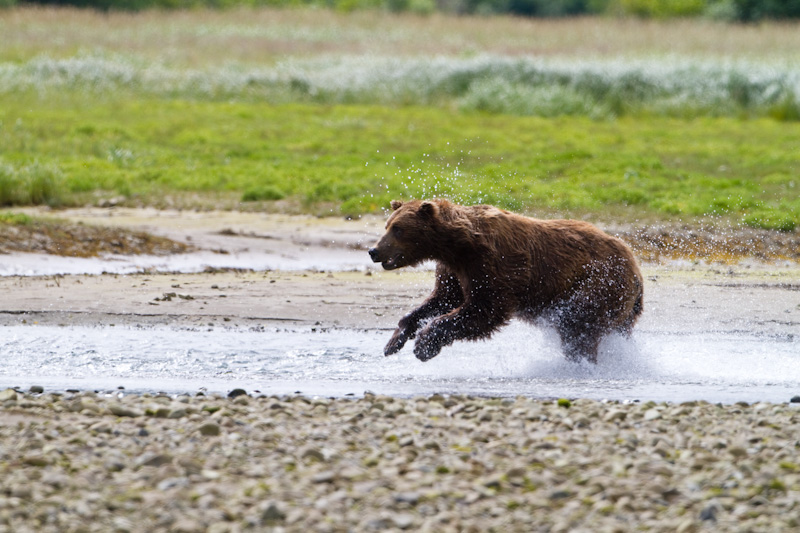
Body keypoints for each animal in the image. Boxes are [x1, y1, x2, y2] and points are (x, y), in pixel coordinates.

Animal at [368, 197, 644, 364]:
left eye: (398, 229)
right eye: (387, 225)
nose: (374, 251)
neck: (457, 246)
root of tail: (636, 269)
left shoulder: (491, 264)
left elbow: (484, 309)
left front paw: (424, 345)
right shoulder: (455, 271)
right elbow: (441, 299)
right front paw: (393, 341)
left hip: (599, 283)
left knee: (577, 324)